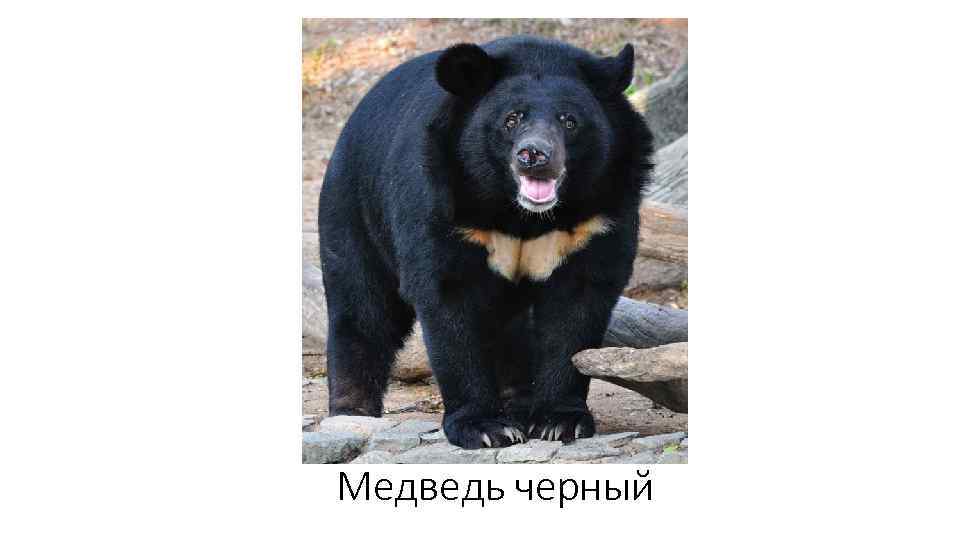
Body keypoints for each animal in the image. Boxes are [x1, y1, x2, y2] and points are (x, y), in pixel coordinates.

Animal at [318, 36, 654, 449]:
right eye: (512, 119)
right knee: (363, 307)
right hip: (354, 208)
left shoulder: (598, 217)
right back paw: (352, 412)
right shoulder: (443, 202)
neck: (522, 215)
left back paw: (519, 404)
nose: (534, 156)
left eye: (569, 121)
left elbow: (576, 308)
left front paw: (559, 421)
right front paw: (484, 427)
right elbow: (448, 301)